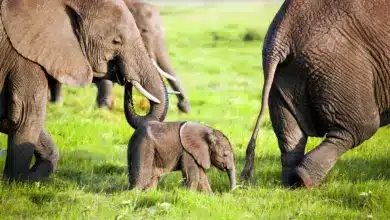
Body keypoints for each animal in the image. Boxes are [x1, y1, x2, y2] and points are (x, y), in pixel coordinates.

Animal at [0, 0, 168, 182]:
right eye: (116, 41)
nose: (127, 81)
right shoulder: (23, 56)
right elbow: (24, 116)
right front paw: (16, 181)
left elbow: (13, 119)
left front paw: (31, 177)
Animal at [241, 0, 390, 188]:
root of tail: (281, 34)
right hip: (337, 64)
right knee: (359, 127)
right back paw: (304, 181)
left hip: (283, 75)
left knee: (289, 135)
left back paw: (291, 185)